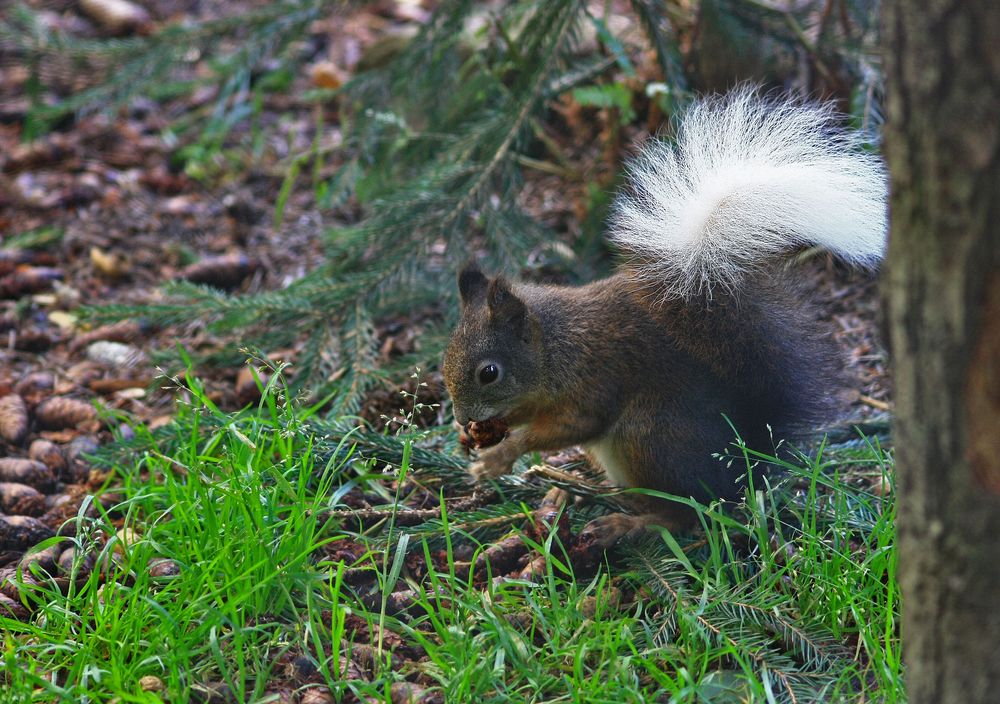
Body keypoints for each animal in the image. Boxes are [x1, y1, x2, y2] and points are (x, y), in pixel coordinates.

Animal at [442, 88, 888, 540]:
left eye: (489, 372)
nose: (460, 417)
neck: (552, 346)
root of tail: (742, 467)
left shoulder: (590, 380)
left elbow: (573, 425)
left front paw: (500, 456)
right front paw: (479, 435)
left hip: (649, 437)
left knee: (688, 515)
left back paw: (626, 524)